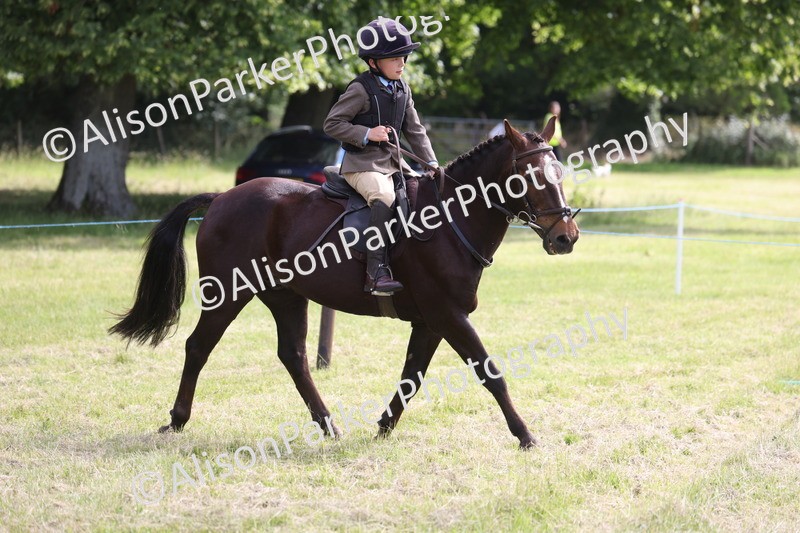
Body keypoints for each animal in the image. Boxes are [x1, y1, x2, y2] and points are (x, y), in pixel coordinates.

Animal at [110, 118, 580, 448]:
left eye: (559, 172)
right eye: (531, 177)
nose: (566, 238)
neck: (450, 219)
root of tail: (222, 198)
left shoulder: (431, 322)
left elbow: (412, 377)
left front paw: (384, 427)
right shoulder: (448, 315)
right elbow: (489, 372)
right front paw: (525, 435)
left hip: (286, 297)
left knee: (294, 356)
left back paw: (328, 424)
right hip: (228, 294)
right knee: (198, 347)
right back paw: (177, 419)